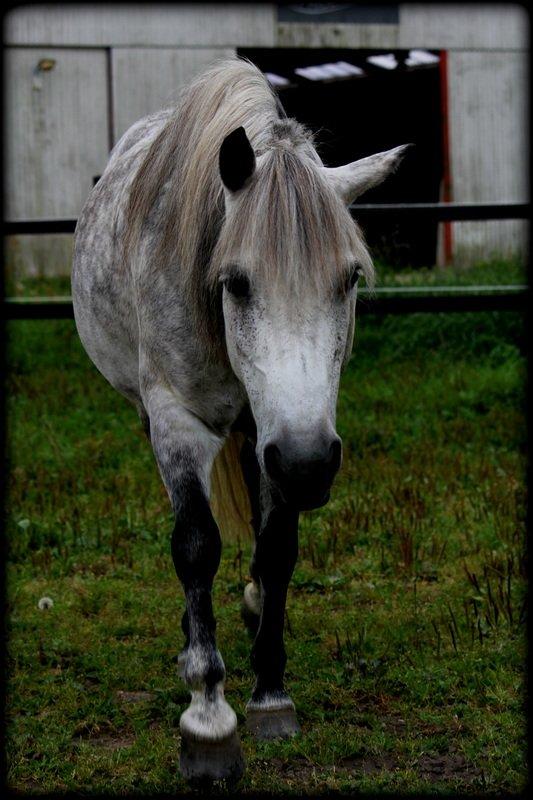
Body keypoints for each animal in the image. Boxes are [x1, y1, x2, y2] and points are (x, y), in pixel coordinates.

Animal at [71, 56, 408, 780]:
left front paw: (270, 694)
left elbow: (277, 547)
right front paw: (208, 720)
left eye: (349, 280)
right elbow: (195, 544)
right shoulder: (177, 417)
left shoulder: (277, 433)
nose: (309, 466)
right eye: (237, 283)